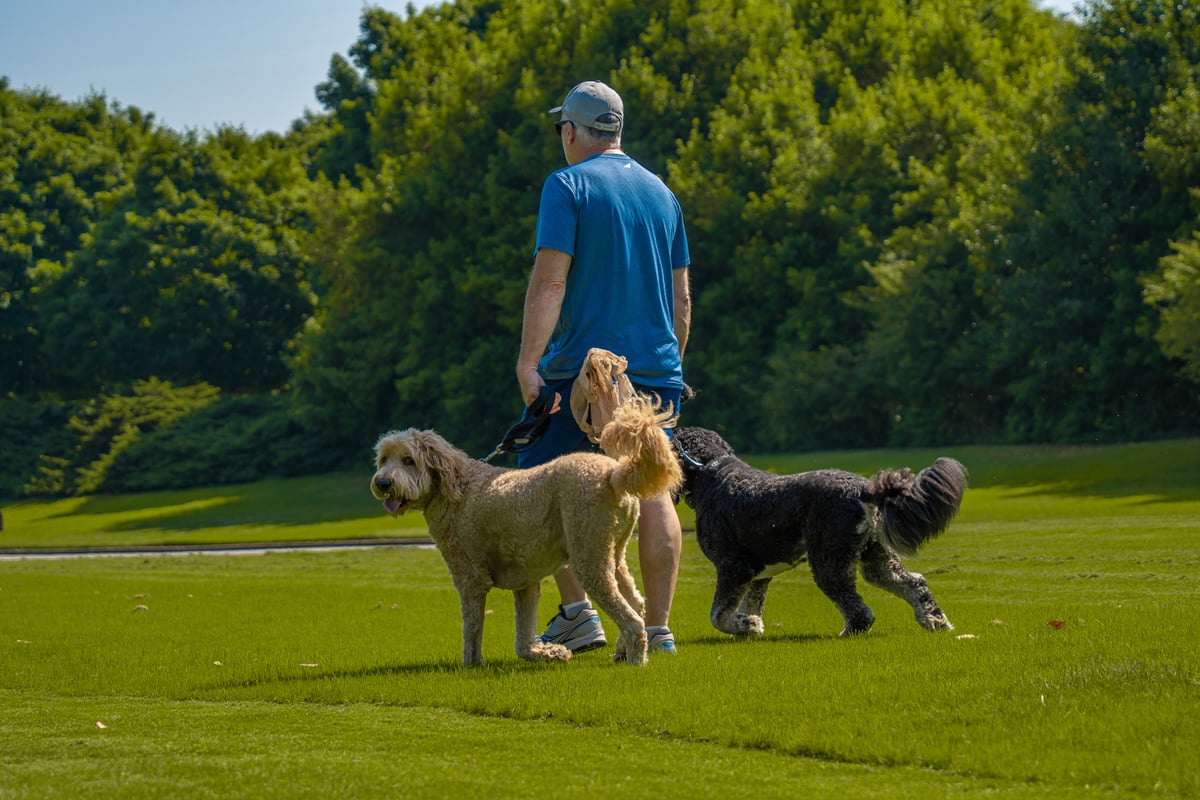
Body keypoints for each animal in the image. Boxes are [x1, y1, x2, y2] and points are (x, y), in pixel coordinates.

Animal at [369, 395, 681, 671]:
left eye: (408, 460)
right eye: (383, 459)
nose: (382, 483)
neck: (455, 486)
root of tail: (613, 475)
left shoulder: (470, 578)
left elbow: (472, 630)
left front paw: (470, 666)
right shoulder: (526, 583)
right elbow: (522, 639)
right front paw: (549, 653)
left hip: (589, 559)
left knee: (632, 620)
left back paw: (636, 660)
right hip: (613, 554)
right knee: (636, 602)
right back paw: (621, 650)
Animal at [676, 429, 964, 642]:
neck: (711, 473)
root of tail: (864, 490)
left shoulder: (734, 566)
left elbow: (718, 615)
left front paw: (746, 625)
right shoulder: (759, 574)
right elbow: (751, 604)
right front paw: (749, 628)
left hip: (829, 561)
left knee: (860, 611)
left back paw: (847, 633)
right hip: (877, 559)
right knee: (914, 583)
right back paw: (936, 621)